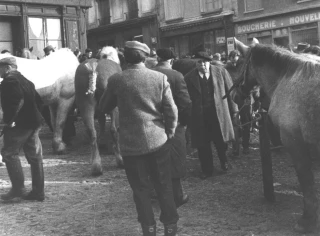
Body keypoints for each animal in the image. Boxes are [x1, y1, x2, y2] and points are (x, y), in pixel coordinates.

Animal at [74, 46, 122, 175]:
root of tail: (93, 68)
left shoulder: (100, 111)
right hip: (112, 106)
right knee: (113, 130)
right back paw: (120, 160)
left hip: (85, 104)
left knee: (92, 132)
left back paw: (96, 166)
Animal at [234, 38, 318, 232]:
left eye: (239, 63)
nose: (235, 95)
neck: (286, 78)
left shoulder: (294, 142)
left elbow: (306, 179)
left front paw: (307, 218)